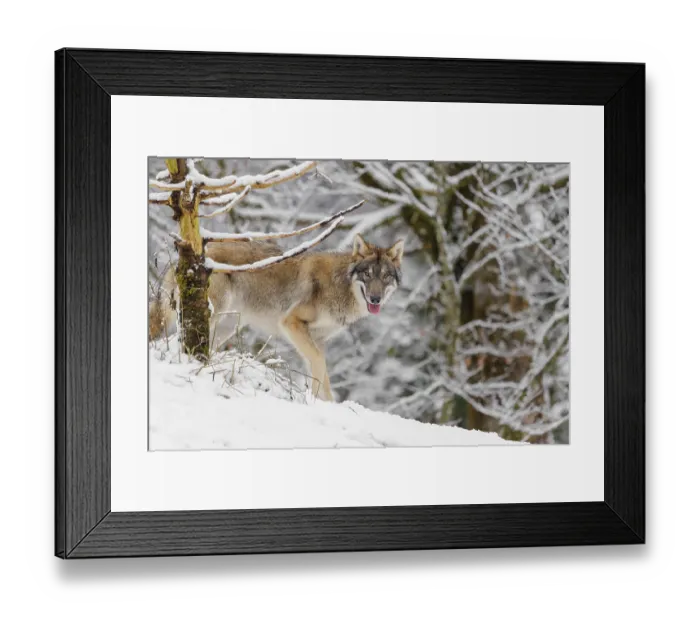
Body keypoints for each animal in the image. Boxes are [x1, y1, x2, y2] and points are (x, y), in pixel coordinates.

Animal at [150, 234, 404, 401]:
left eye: (385, 277)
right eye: (367, 274)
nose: (375, 299)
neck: (338, 285)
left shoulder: (318, 340)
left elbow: (322, 373)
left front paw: (326, 403)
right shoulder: (292, 323)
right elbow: (319, 365)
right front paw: (316, 400)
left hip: (226, 328)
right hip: (211, 315)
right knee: (173, 341)